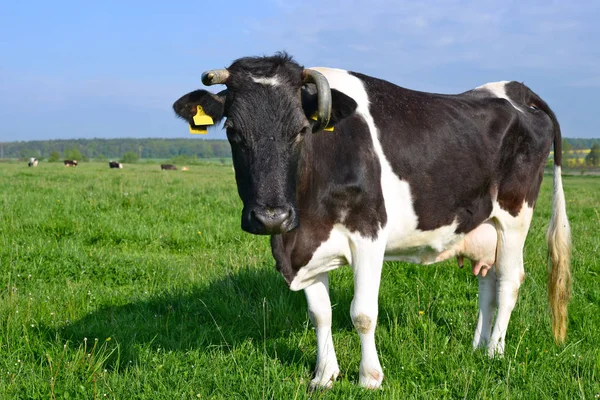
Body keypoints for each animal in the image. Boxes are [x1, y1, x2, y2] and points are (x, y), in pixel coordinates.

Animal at [172, 53, 572, 390]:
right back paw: (477, 345)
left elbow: (362, 313)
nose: (272, 217)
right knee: (486, 284)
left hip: (515, 215)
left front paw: (369, 378)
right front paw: (324, 376)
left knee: (508, 281)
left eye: (300, 130)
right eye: (233, 132)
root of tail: (514, 89)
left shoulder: (369, 233)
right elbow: (320, 314)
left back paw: (494, 352)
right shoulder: (307, 246)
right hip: (483, 223)